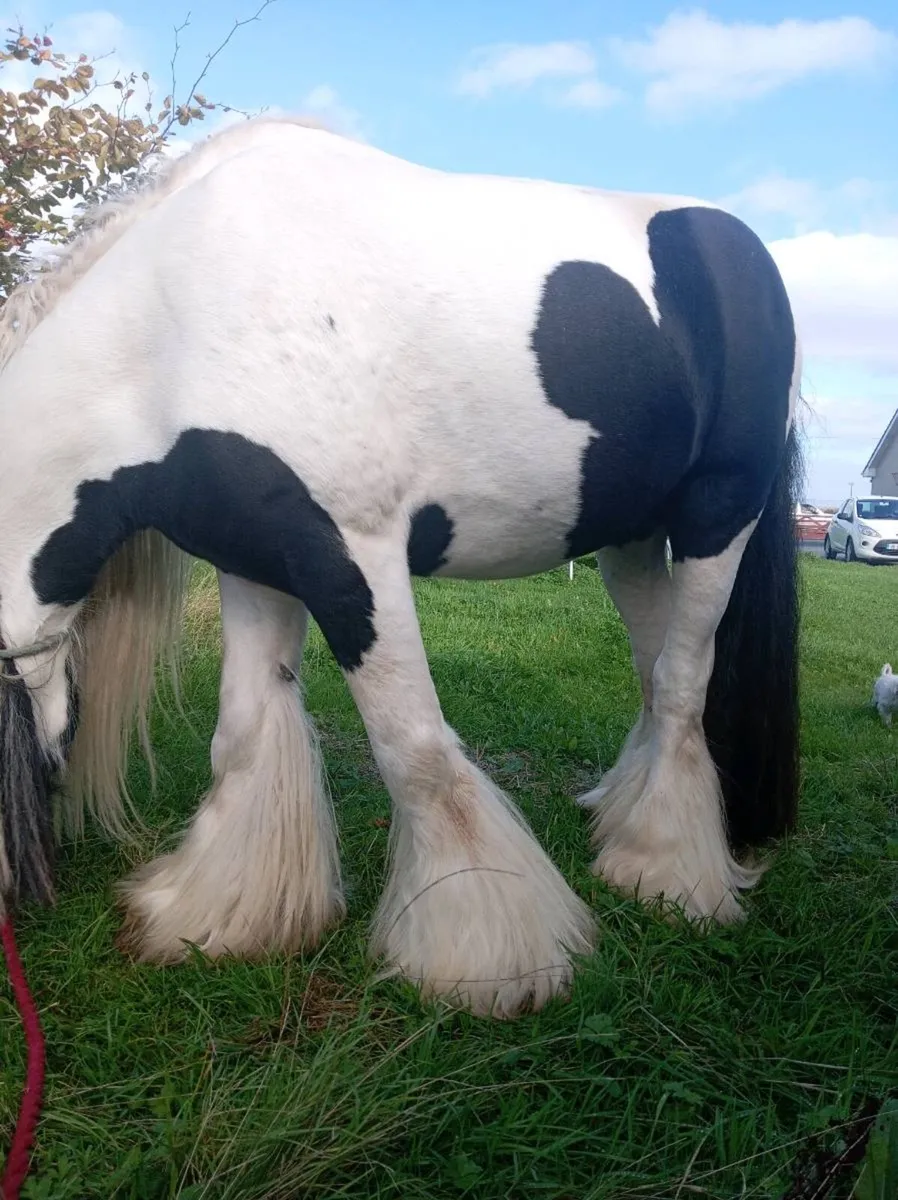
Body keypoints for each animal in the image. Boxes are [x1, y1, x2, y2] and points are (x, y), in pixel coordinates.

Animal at [0, 116, 802, 1019]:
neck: (174, 324)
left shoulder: (355, 556)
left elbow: (413, 747)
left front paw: (490, 959)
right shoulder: (254, 561)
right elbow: (245, 735)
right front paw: (223, 915)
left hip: (717, 518)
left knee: (682, 682)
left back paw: (664, 876)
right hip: (629, 542)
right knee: (655, 671)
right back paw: (624, 825)